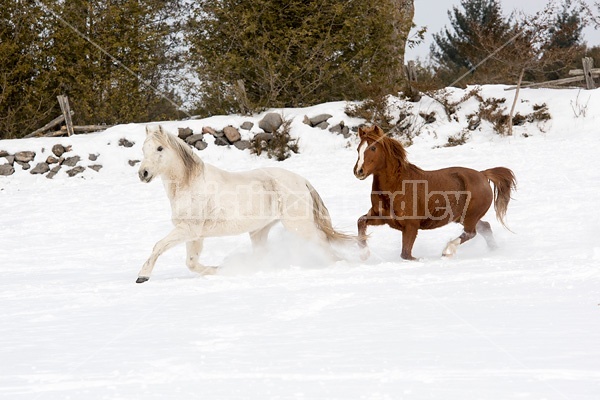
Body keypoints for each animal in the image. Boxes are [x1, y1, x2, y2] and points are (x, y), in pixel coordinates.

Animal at [136, 124, 352, 282]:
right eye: (143, 149)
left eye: (160, 148)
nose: (143, 173)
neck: (190, 184)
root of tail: (302, 180)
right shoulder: (195, 235)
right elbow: (191, 263)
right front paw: (220, 270)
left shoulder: (188, 230)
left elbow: (158, 246)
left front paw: (142, 276)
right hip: (259, 231)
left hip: (299, 226)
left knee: (321, 241)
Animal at [352, 126, 516, 260]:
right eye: (358, 149)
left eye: (373, 148)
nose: (358, 171)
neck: (396, 186)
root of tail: (483, 174)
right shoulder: (382, 218)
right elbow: (361, 221)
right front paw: (364, 254)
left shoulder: (411, 226)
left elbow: (406, 254)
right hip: (463, 217)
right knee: (485, 227)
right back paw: (494, 250)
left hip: (470, 216)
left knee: (471, 233)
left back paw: (447, 251)